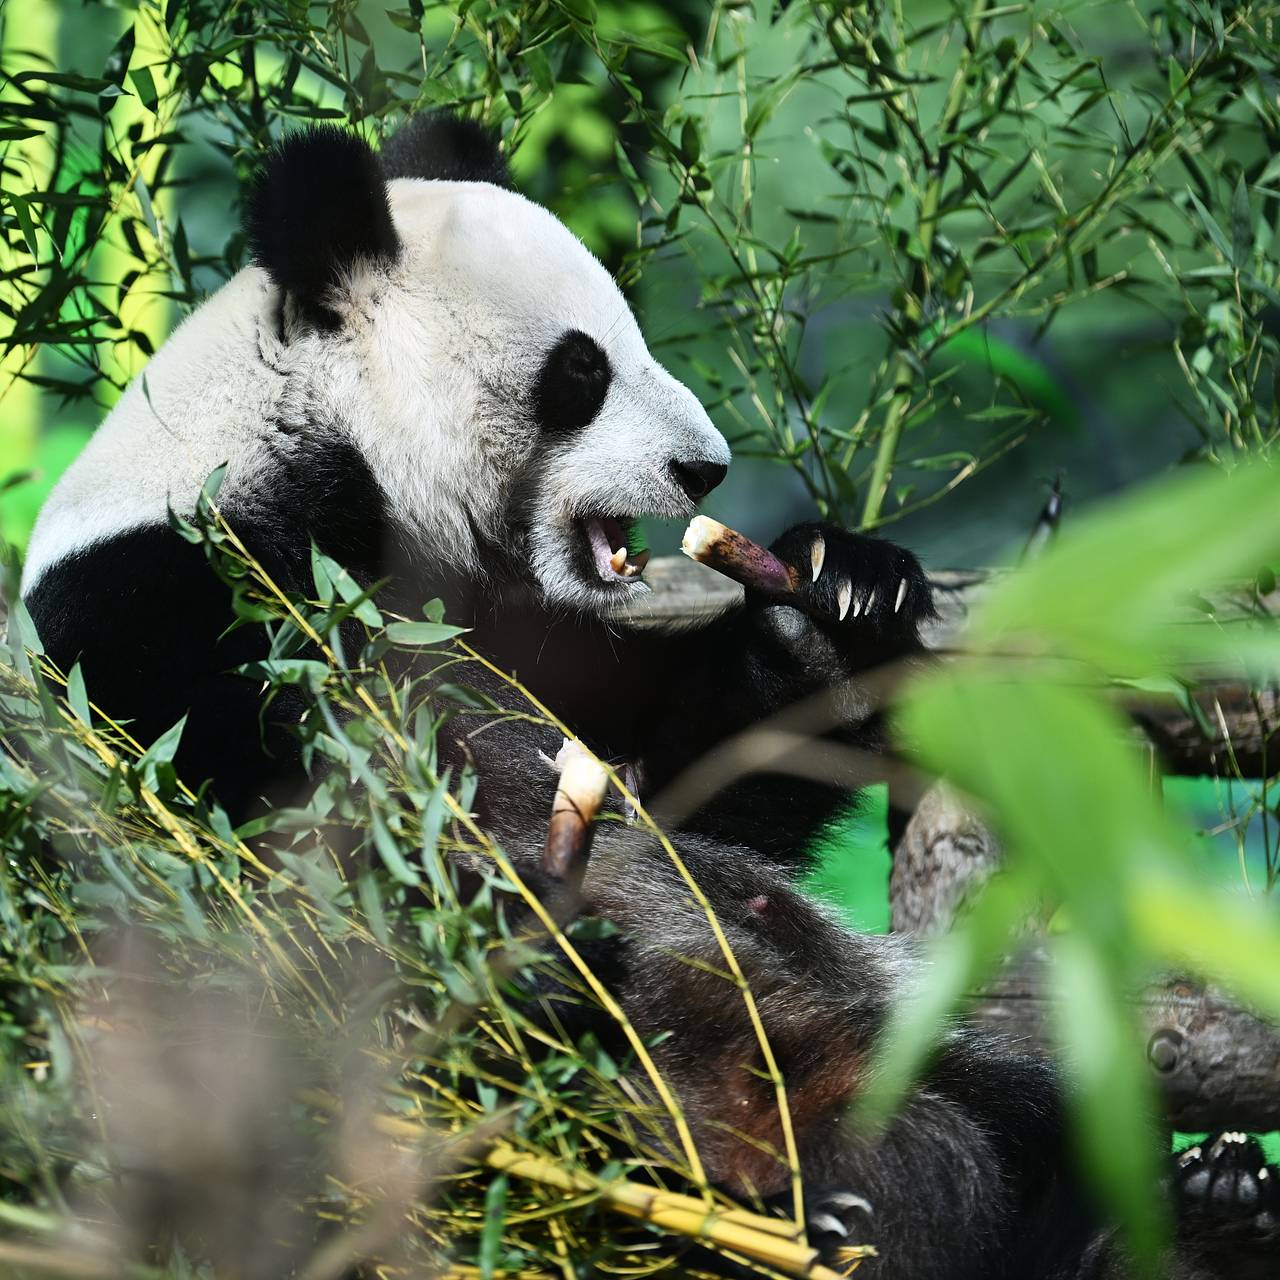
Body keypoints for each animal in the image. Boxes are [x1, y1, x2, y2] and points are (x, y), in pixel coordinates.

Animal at [20, 115, 1280, 1274]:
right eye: (581, 368)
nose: (704, 469)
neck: (333, 465)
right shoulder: (163, 603)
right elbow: (250, 868)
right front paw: (514, 931)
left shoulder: (522, 632)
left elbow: (688, 791)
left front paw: (837, 601)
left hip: (900, 1044)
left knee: (1038, 1123)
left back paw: (1184, 1204)